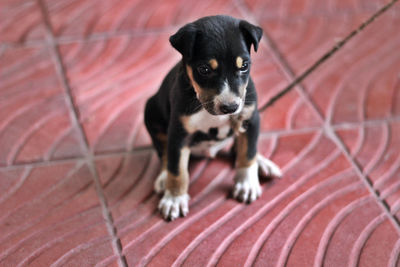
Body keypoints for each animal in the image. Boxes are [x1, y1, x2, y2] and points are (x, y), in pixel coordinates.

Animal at [145, 14, 282, 221]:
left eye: (244, 66)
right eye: (204, 69)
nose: (230, 107)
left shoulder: (250, 119)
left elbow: (248, 152)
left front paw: (247, 183)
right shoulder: (178, 132)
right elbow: (177, 169)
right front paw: (175, 198)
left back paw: (263, 163)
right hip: (151, 112)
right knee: (164, 153)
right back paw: (163, 179)